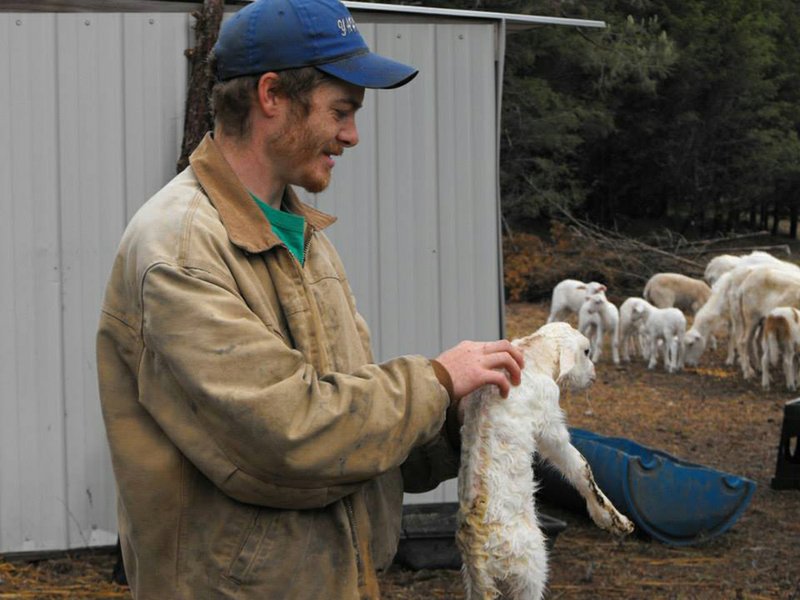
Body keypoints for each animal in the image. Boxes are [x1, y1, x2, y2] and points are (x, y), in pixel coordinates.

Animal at [454, 324, 636, 600]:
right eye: (586, 351)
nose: (594, 375)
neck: (532, 353)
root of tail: (476, 541)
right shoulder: (550, 420)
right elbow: (580, 466)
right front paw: (614, 519)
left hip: (476, 582)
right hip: (531, 564)